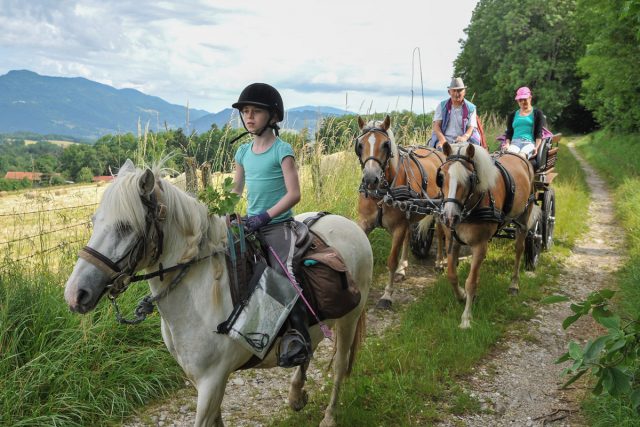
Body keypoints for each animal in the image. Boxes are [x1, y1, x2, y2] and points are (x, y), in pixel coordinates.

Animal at [62, 159, 372, 427]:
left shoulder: (212, 381)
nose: (75, 294)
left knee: (340, 365)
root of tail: (349, 225)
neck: (199, 295)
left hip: (349, 319)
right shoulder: (204, 382)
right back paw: (296, 395)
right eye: (94, 221)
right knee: (312, 345)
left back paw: (328, 416)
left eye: (125, 226)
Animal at [356, 115, 444, 310]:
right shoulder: (364, 223)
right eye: (360, 145)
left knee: (444, 234)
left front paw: (387, 295)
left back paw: (441, 262)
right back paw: (403, 269)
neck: (382, 193)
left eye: (385, 145)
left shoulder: (398, 227)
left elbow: (391, 260)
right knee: (409, 235)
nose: (370, 179)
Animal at [436, 142, 540, 330]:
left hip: (524, 218)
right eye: (441, 176)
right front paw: (461, 296)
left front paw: (466, 318)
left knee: (519, 249)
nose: (449, 217)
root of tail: (520, 156)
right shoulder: (453, 242)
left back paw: (514, 284)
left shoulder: (479, 245)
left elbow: (471, 282)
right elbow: (452, 275)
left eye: (469, 178)